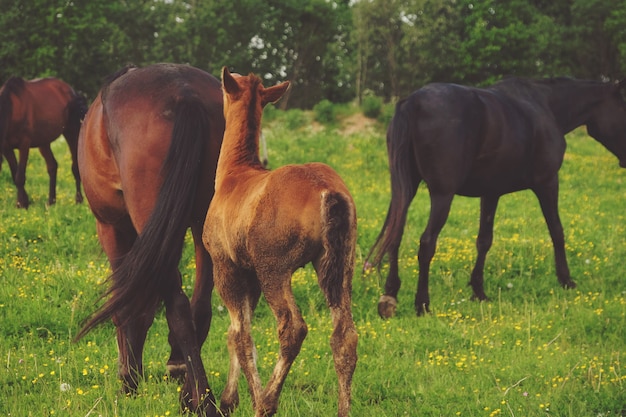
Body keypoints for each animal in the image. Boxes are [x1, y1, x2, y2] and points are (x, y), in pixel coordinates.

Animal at [0, 75, 86, 207]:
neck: (12, 109)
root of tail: (71, 91)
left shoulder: (24, 145)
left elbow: (20, 176)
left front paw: (23, 203)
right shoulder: (6, 147)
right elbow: (15, 174)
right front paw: (23, 201)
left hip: (72, 132)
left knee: (75, 166)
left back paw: (78, 199)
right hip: (44, 142)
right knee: (52, 166)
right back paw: (51, 201)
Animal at [74, 62, 224, 416]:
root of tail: (183, 92)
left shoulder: (112, 227)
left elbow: (126, 305)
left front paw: (128, 379)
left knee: (178, 306)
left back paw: (204, 400)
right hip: (202, 221)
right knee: (199, 305)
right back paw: (190, 392)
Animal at [202, 66, 358, 414]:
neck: (234, 173)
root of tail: (328, 190)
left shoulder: (227, 267)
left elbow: (240, 334)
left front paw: (241, 398)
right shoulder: (250, 275)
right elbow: (236, 333)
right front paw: (232, 397)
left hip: (274, 268)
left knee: (292, 328)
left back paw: (266, 401)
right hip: (338, 265)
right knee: (345, 336)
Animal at [364, 75, 624, 316]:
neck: (545, 106)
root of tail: (413, 102)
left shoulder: (491, 192)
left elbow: (484, 240)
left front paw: (479, 291)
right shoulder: (548, 182)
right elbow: (557, 231)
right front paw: (566, 280)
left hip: (406, 189)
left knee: (395, 235)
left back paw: (390, 295)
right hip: (442, 195)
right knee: (427, 243)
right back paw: (422, 304)